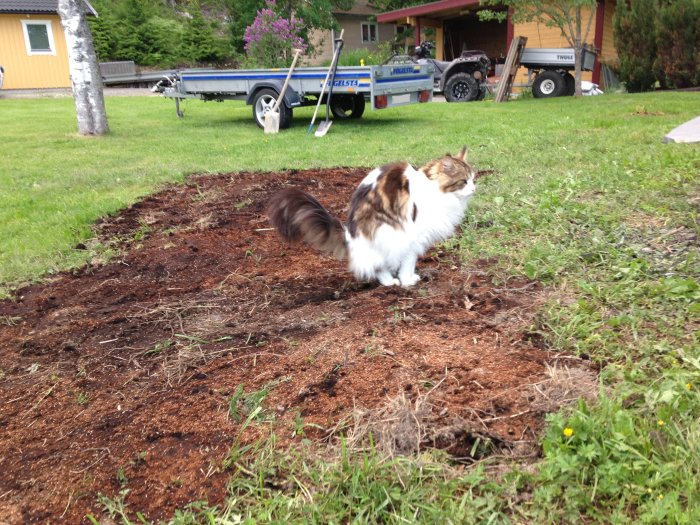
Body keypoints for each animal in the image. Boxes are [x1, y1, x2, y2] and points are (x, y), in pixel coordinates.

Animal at [266, 146, 476, 286]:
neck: (434, 189)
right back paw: (391, 282)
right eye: (464, 181)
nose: (474, 189)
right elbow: (409, 262)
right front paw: (408, 280)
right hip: (391, 234)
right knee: (379, 266)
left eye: (474, 179)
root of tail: (350, 235)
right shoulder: (414, 237)